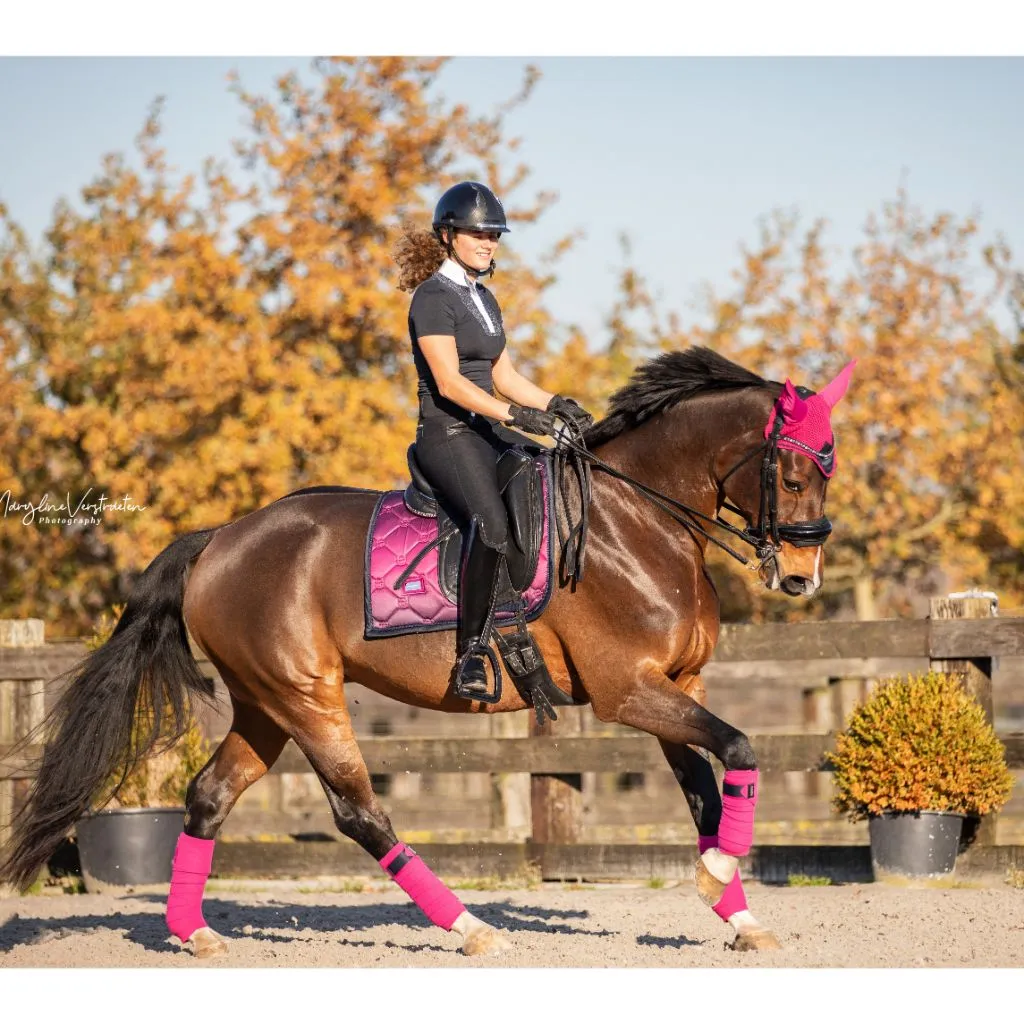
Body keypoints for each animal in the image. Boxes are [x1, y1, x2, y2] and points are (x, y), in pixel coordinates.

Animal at [0, 346, 856, 958]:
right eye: (790, 474)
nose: (802, 576)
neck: (638, 519)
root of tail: (220, 539)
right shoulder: (629, 690)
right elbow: (740, 749)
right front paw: (718, 879)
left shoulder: (678, 682)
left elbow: (709, 791)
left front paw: (735, 912)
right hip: (308, 696)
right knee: (359, 811)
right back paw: (470, 927)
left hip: (265, 703)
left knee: (210, 796)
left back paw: (196, 933)